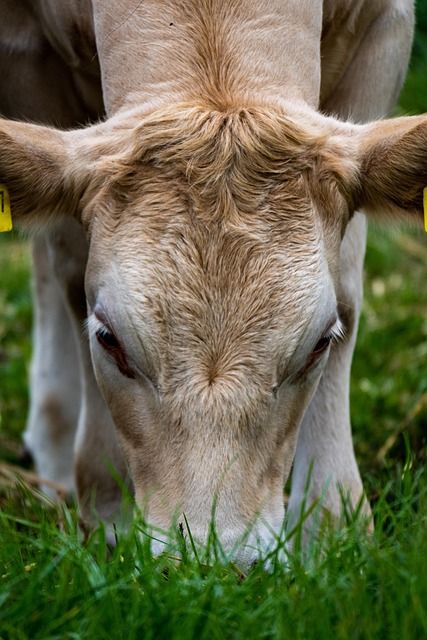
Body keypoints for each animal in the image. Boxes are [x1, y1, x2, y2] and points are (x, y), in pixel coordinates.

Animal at [0, 0, 422, 564]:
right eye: (109, 340)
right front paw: (108, 512)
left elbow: (350, 292)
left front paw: (331, 529)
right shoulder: (26, 49)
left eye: (319, 344)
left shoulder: (384, 29)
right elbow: (70, 273)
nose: (215, 567)